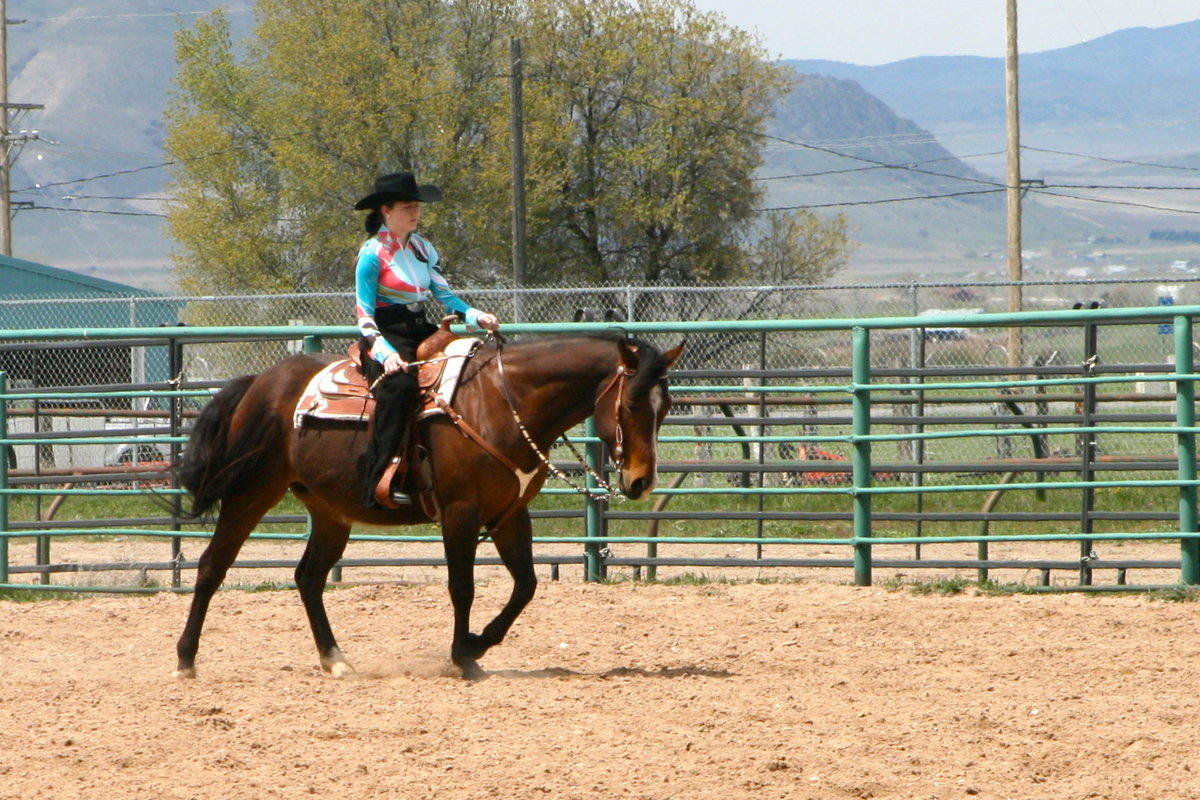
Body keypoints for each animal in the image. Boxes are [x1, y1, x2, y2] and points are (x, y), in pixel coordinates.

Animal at [175, 335, 686, 681]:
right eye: (632, 403)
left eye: (666, 407)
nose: (641, 482)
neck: (503, 401)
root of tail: (260, 383)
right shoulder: (460, 512)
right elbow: (462, 587)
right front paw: (463, 656)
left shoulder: (510, 514)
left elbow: (526, 586)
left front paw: (478, 644)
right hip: (251, 491)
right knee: (212, 565)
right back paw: (185, 659)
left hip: (329, 511)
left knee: (309, 578)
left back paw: (336, 660)